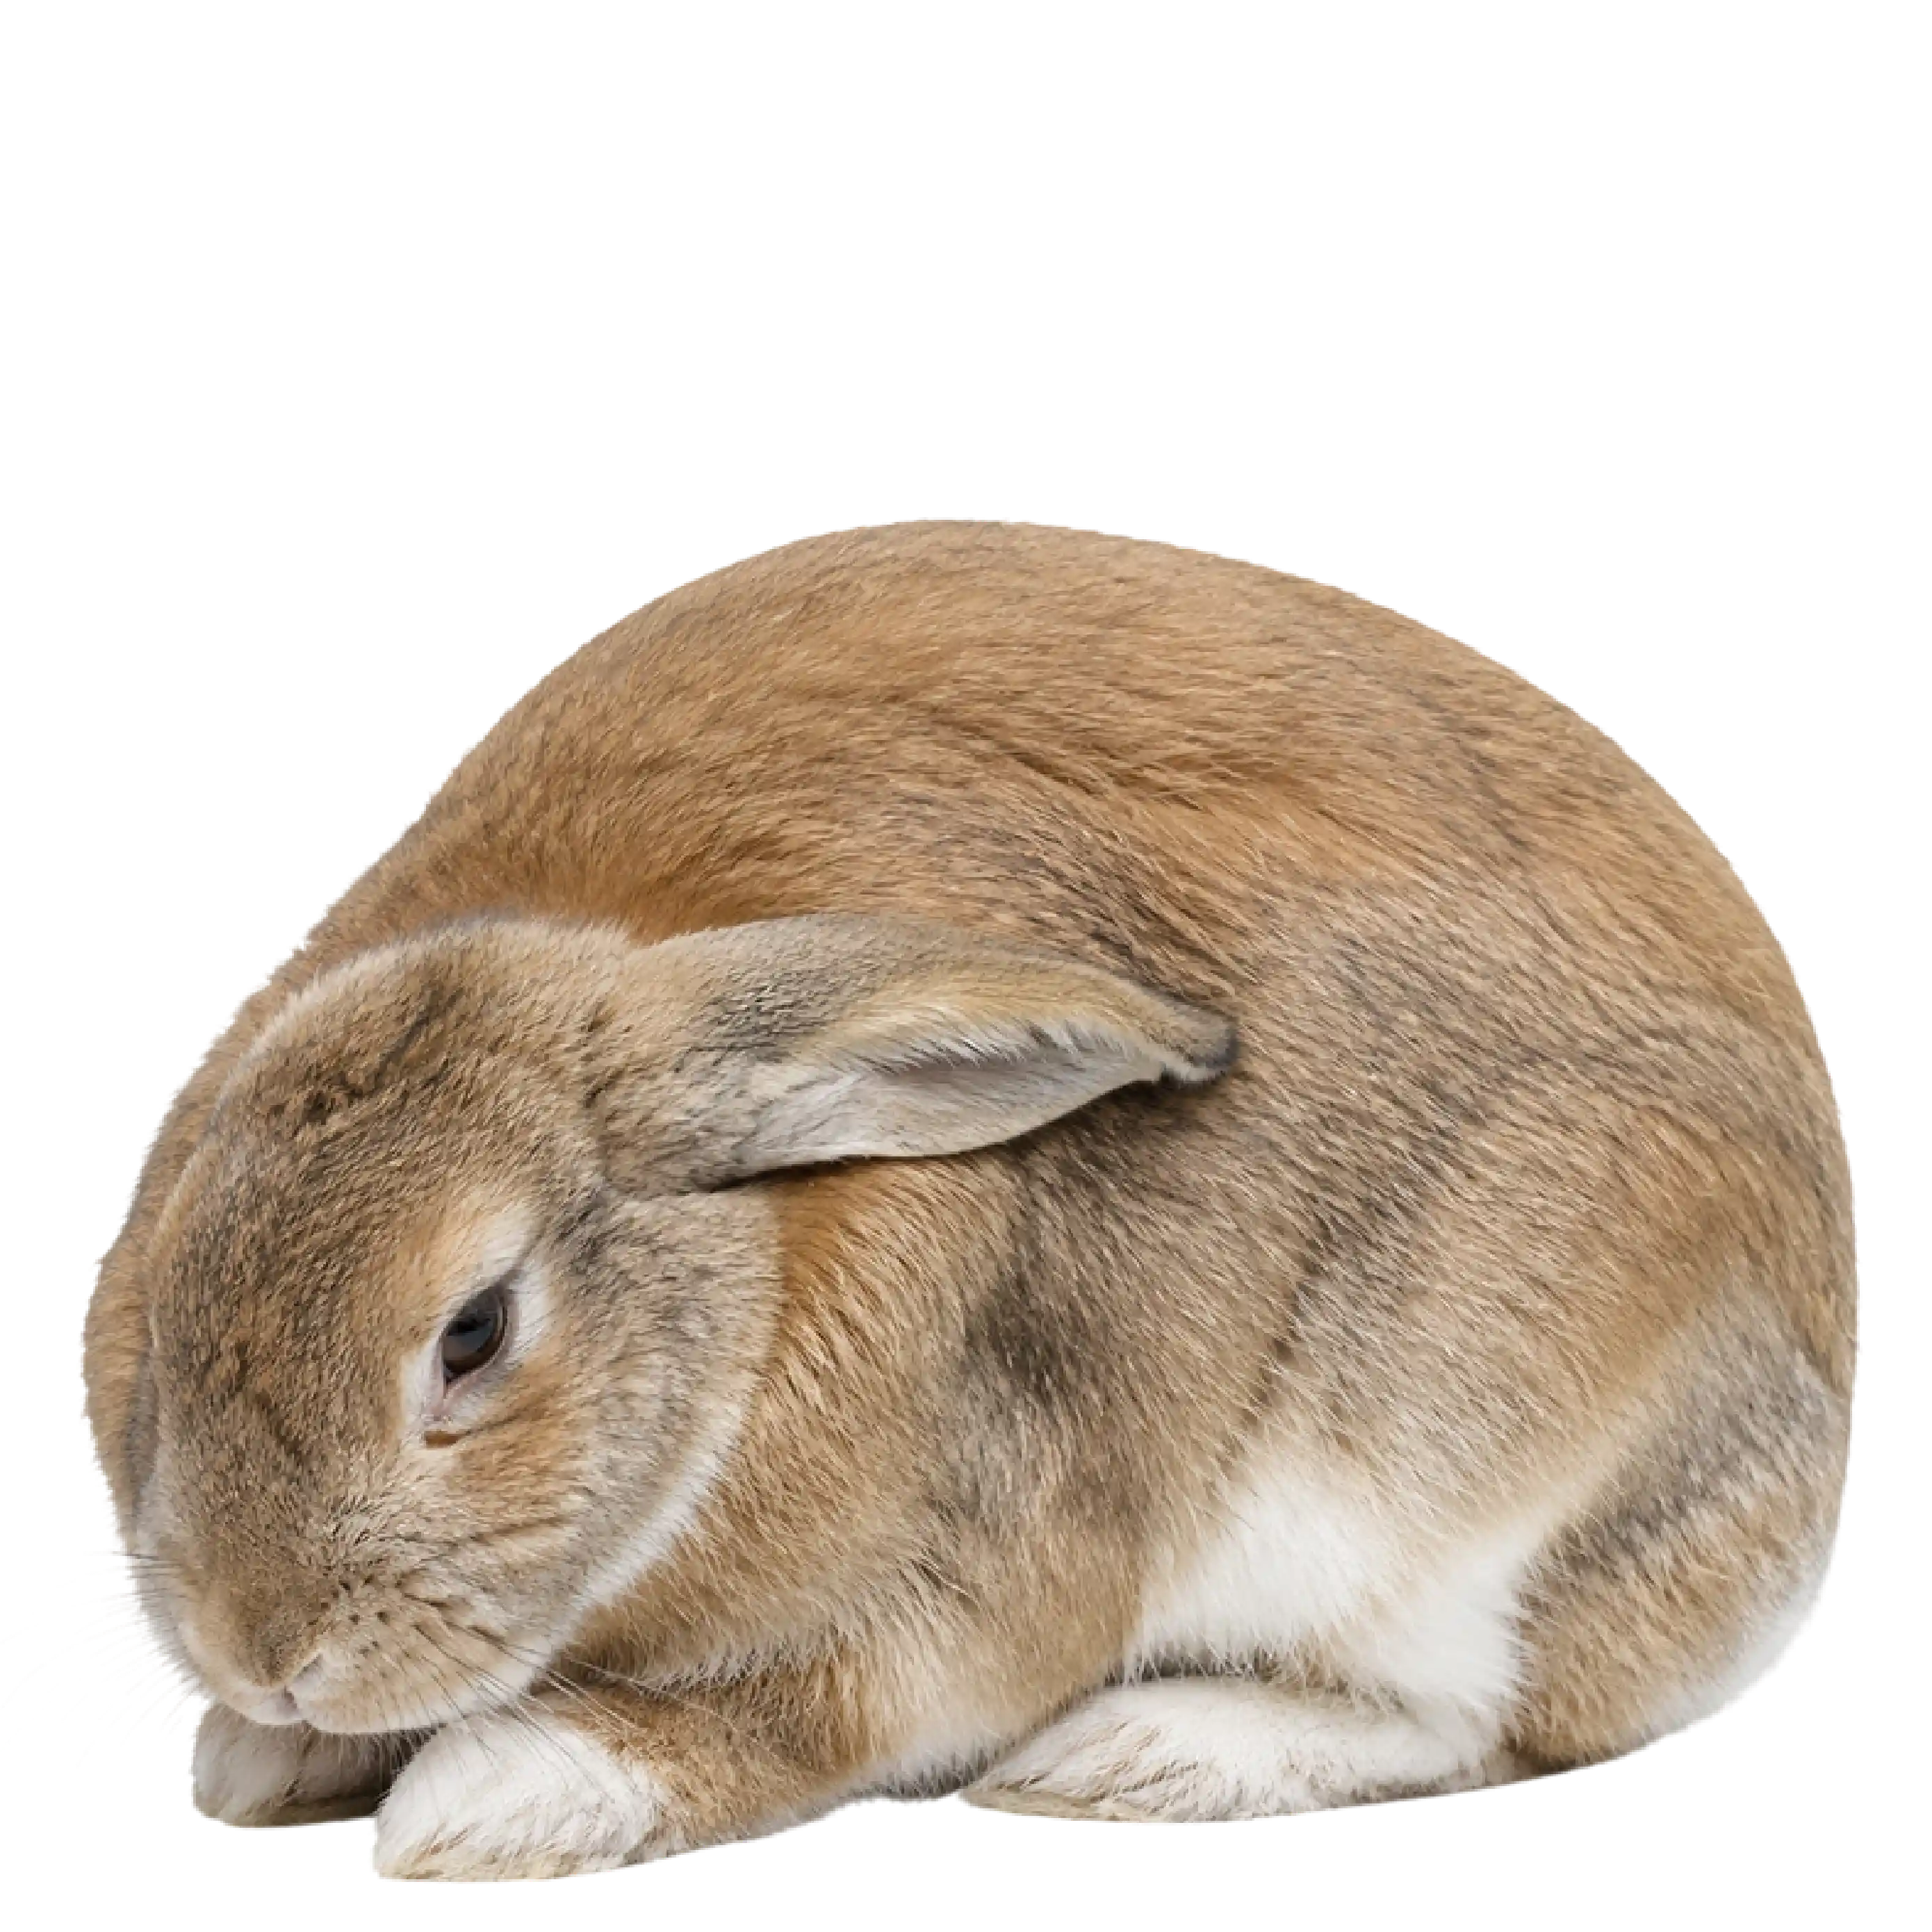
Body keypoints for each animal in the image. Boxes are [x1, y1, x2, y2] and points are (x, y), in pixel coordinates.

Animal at [78, 519, 1857, 1881]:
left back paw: (1139, 1756)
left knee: (1484, 1718)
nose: (262, 1652)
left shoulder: (975, 1569)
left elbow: (810, 1717)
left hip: (1479, 1477)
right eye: (170, 1295)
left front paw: (487, 1801)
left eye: (474, 1332)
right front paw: (261, 1767)